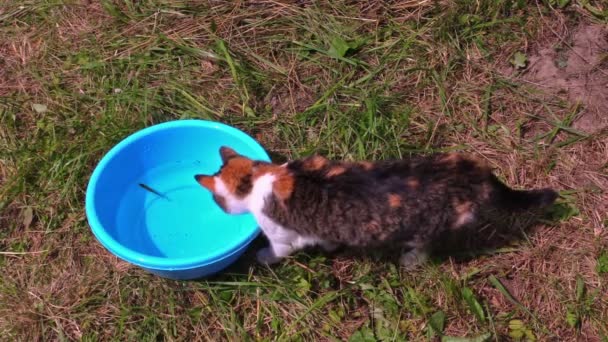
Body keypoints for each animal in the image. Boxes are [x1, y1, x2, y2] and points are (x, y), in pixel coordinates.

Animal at [194, 146, 556, 268]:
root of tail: (472, 171)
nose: (219, 208)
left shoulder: (284, 237)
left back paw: (410, 261)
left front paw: (262, 257)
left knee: (424, 247)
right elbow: (325, 237)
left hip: (430, 227)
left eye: (215, 200)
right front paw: (331, 246)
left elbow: (277, 250)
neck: (260, 178)